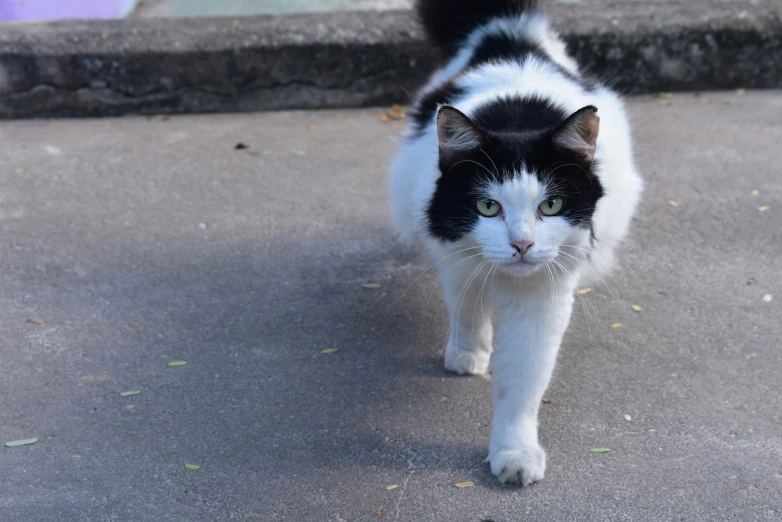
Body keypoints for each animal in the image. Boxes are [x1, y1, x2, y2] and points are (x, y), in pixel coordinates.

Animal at [390, 0, 644, 484]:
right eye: (488, 207)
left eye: (552, 205)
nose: (522, 245)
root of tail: (508, 35)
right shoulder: (454, 253)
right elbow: (466, 309)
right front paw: (468, 353)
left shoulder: (542, 296)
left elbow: (522, 381)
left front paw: (514, 453)